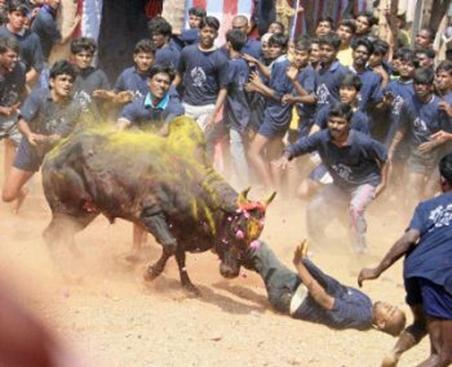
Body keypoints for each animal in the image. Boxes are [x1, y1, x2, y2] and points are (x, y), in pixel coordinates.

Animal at [42, 118, 276, 296]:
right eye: (236, 229)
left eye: (254, 237)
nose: (231, 272)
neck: (192, 183)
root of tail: (52, 155)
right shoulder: (151, 216)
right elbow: (170, 247)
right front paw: (150, 274)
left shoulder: (181, 230)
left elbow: (180, 256)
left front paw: (188, 285)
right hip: (65, 209)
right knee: (50, 237)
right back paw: (67, 274)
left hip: (84, 213)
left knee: (65, 236)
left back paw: (78, 261)